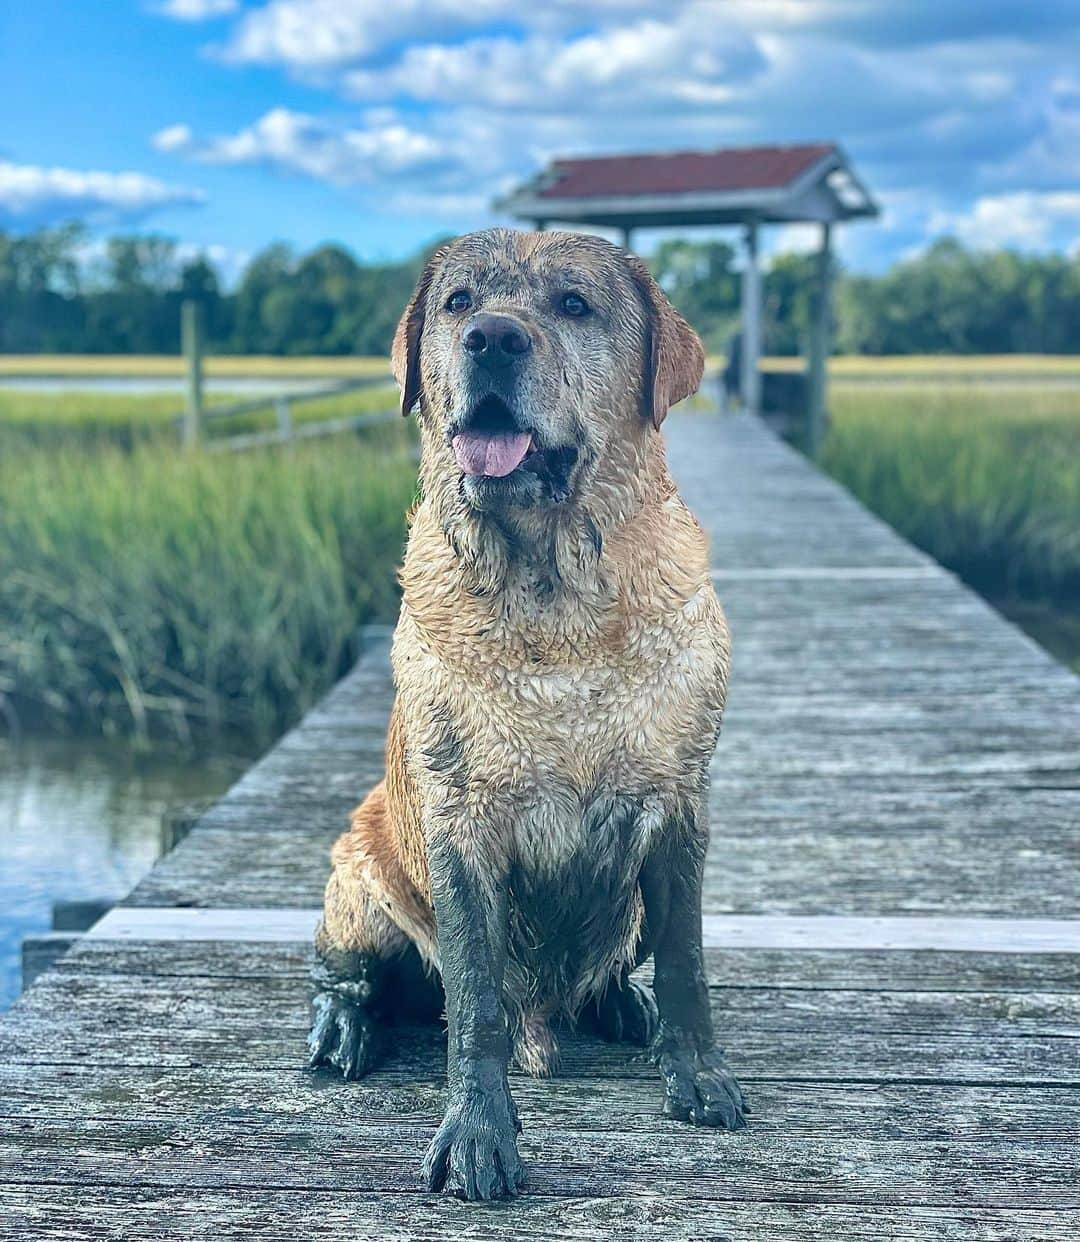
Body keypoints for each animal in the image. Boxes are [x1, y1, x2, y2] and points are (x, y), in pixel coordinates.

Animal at [309, 228, 749, 1197]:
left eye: (574, 305)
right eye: (459, 303)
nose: (494, 340)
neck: (553, 593)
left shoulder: (679, 810)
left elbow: (689, 961)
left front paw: (698, 1076)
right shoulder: (462, 826)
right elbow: (475, 1001)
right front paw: (477, 1132)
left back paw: (623, 1004)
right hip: (357, 872)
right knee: (350, 972)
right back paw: (344, 1026)